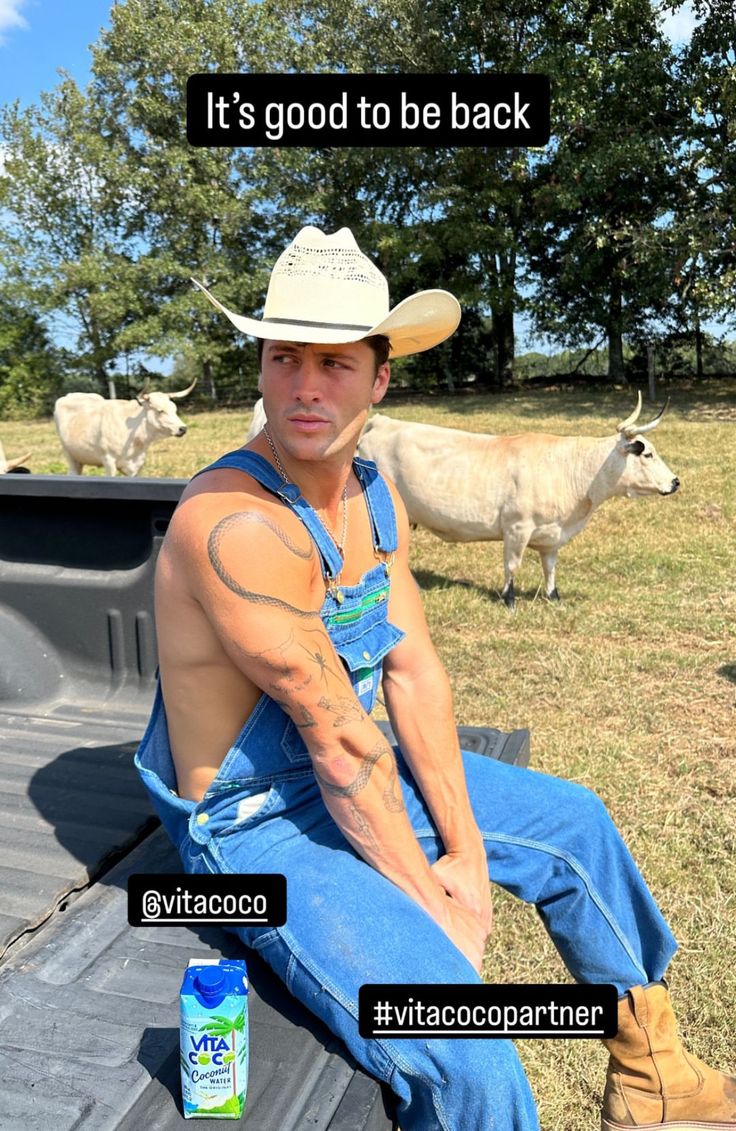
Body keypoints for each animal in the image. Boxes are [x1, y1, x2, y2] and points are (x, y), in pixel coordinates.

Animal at [53, 380, 196, 477]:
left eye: (175, 409)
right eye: (160, 411)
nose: (183, 428)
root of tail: (69, 395)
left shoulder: (137, 466)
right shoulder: (108, 461)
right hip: (70, 455)